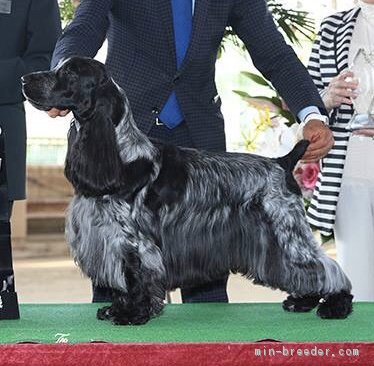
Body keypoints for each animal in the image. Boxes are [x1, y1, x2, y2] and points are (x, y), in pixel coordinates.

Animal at [21, 56, 354, 324]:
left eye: (69, 73)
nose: (24, 79)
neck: (122, 152)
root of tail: (282, 162)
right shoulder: (108, 236)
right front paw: (115, 309)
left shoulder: (134, 241)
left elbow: (136, 277)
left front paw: (131, 314)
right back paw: (303, 301)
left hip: (285, 229)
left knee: (325, 266)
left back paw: (335, 305)